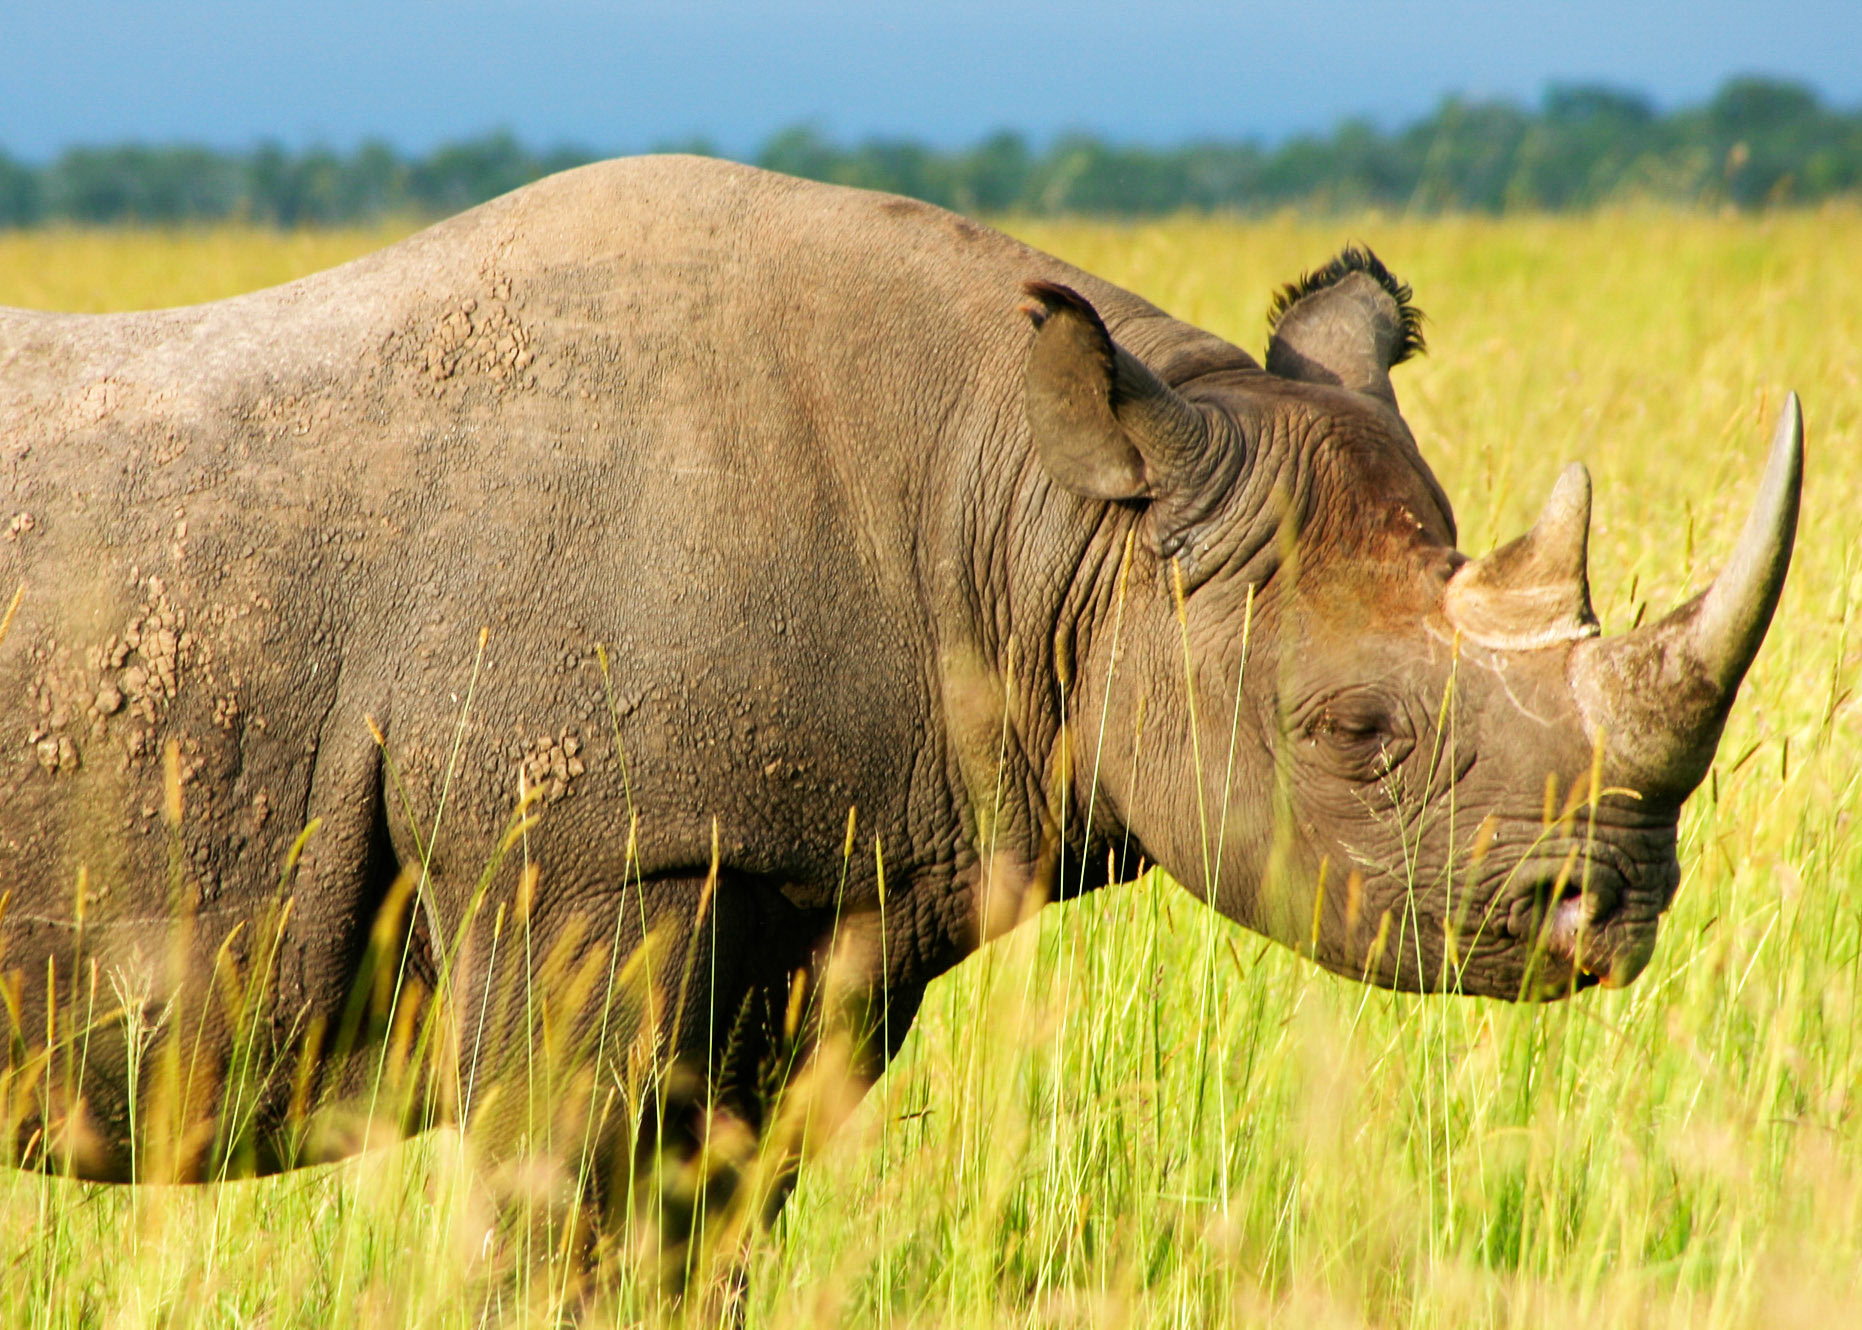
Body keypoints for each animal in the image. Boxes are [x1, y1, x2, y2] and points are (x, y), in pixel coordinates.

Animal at [0, 156, 1800, 1283]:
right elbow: (563, 1208)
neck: (1044, 509)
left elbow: (694, 1224)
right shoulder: (582, 858)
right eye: (1358, 736)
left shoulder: (824, 887)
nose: (1611, 914)